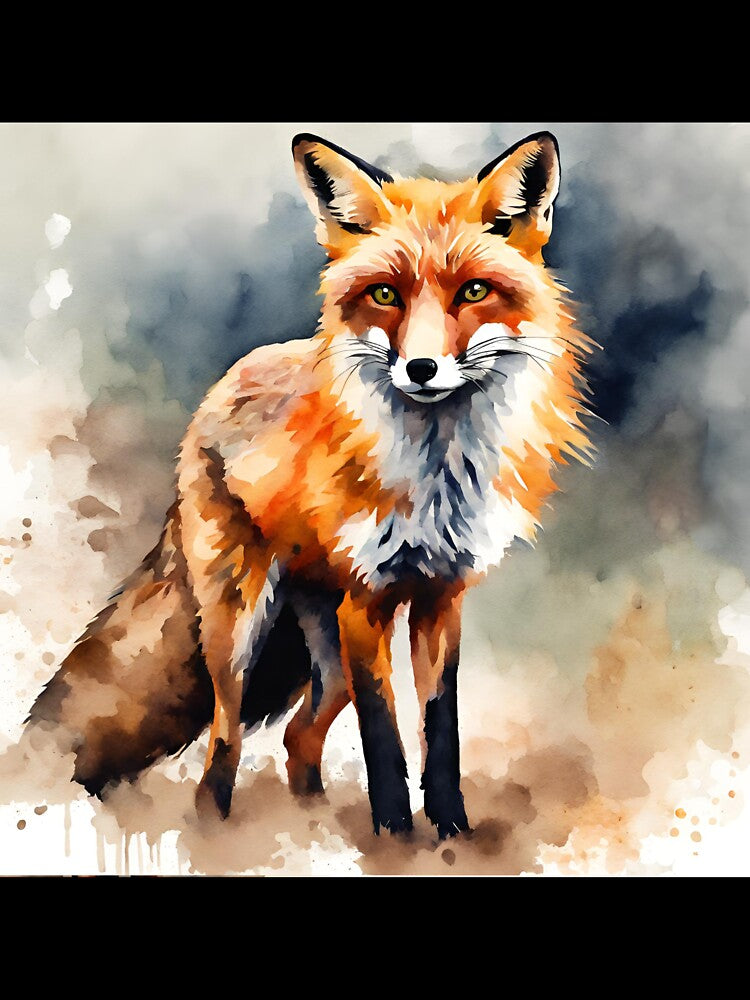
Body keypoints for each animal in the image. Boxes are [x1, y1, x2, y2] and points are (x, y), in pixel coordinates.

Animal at [27, 130, 593, 838]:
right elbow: (384, 739)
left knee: (298, 738)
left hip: (321, 653)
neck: (434, 477)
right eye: (385, 296)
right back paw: (218, 832)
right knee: (225, 740)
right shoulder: (367, 602)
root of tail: (223, 383)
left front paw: (451, 835)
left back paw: (310, 820)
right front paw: (394, 837)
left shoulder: (441, 599)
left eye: (473, 291)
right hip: (242, 628)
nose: (422, 368)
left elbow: (441, 731)